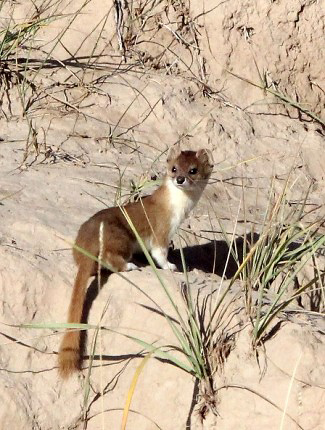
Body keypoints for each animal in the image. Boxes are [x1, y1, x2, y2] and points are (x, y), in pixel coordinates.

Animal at [58, 147, 213, 376]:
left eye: (193, 170)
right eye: (174, 168)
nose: (180, 179)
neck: (178, 208)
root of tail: (86, 243)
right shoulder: (161, 230)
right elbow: (159, 253)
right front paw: (171, 266)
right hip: (121, 238)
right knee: (111, 259)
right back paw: (130, 265)